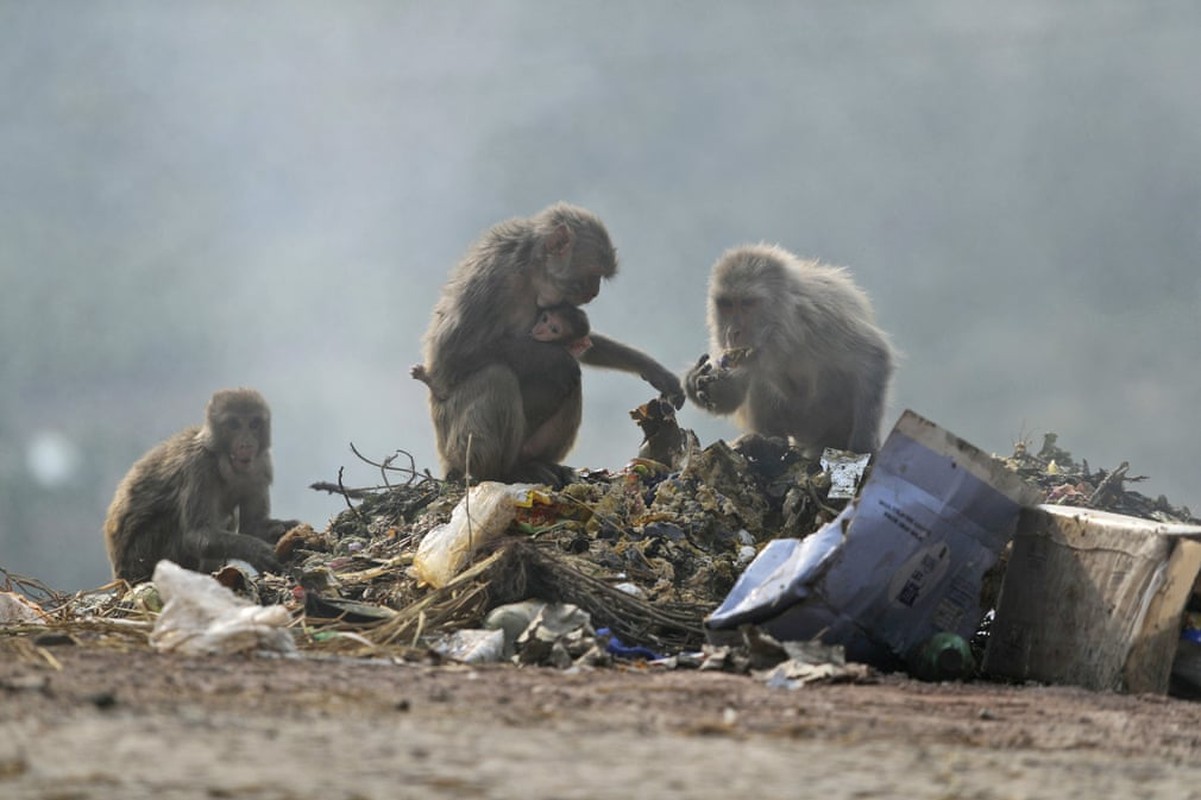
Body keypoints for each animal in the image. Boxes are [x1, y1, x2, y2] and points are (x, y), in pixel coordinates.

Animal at [105, 386, 297, 578]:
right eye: (234, 425)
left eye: (254, 424)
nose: (246, 444)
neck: (221, 458)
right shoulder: (198, 466)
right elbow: (196, 536)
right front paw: (255, 551)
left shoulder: (261, 465)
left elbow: (252, 527)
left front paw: (288, 529)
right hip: (143, 555)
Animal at [422, 203, 686, 482]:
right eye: (592, 275)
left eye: (599, 278)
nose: (594, 292)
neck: (529, 270)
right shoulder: (492, 278)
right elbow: (448, 356)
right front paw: (556, 358)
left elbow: (579, 341)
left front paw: (654, 370)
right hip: (453, 443)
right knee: (499, 377)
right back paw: (502, 472)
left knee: (569, 384)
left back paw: (537, 462)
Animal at [686, 242, 893, 454]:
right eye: (727, 304)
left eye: (747, 303)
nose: (732, 332)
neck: (782, 329)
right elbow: (733, 394)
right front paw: (695, 381)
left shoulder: (823, 317)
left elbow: (874, 358)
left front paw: (863, 445)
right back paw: (767, 442)